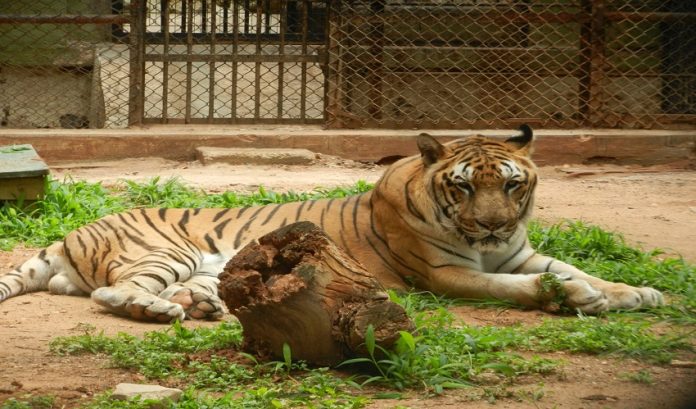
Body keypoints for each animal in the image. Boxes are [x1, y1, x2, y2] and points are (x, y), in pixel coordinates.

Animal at [0, 125, 664, 321]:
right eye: (463, 186)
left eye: (511, 183)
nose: (495, 225)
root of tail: (65, 237)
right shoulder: (447, 275)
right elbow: (517, 287)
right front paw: (572, 296)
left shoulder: (520, 252)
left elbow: (577, 267)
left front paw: (638, 292)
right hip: (167, 252)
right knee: (117, 293)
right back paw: (161, 311)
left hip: (211, 268)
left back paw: (201, 308)